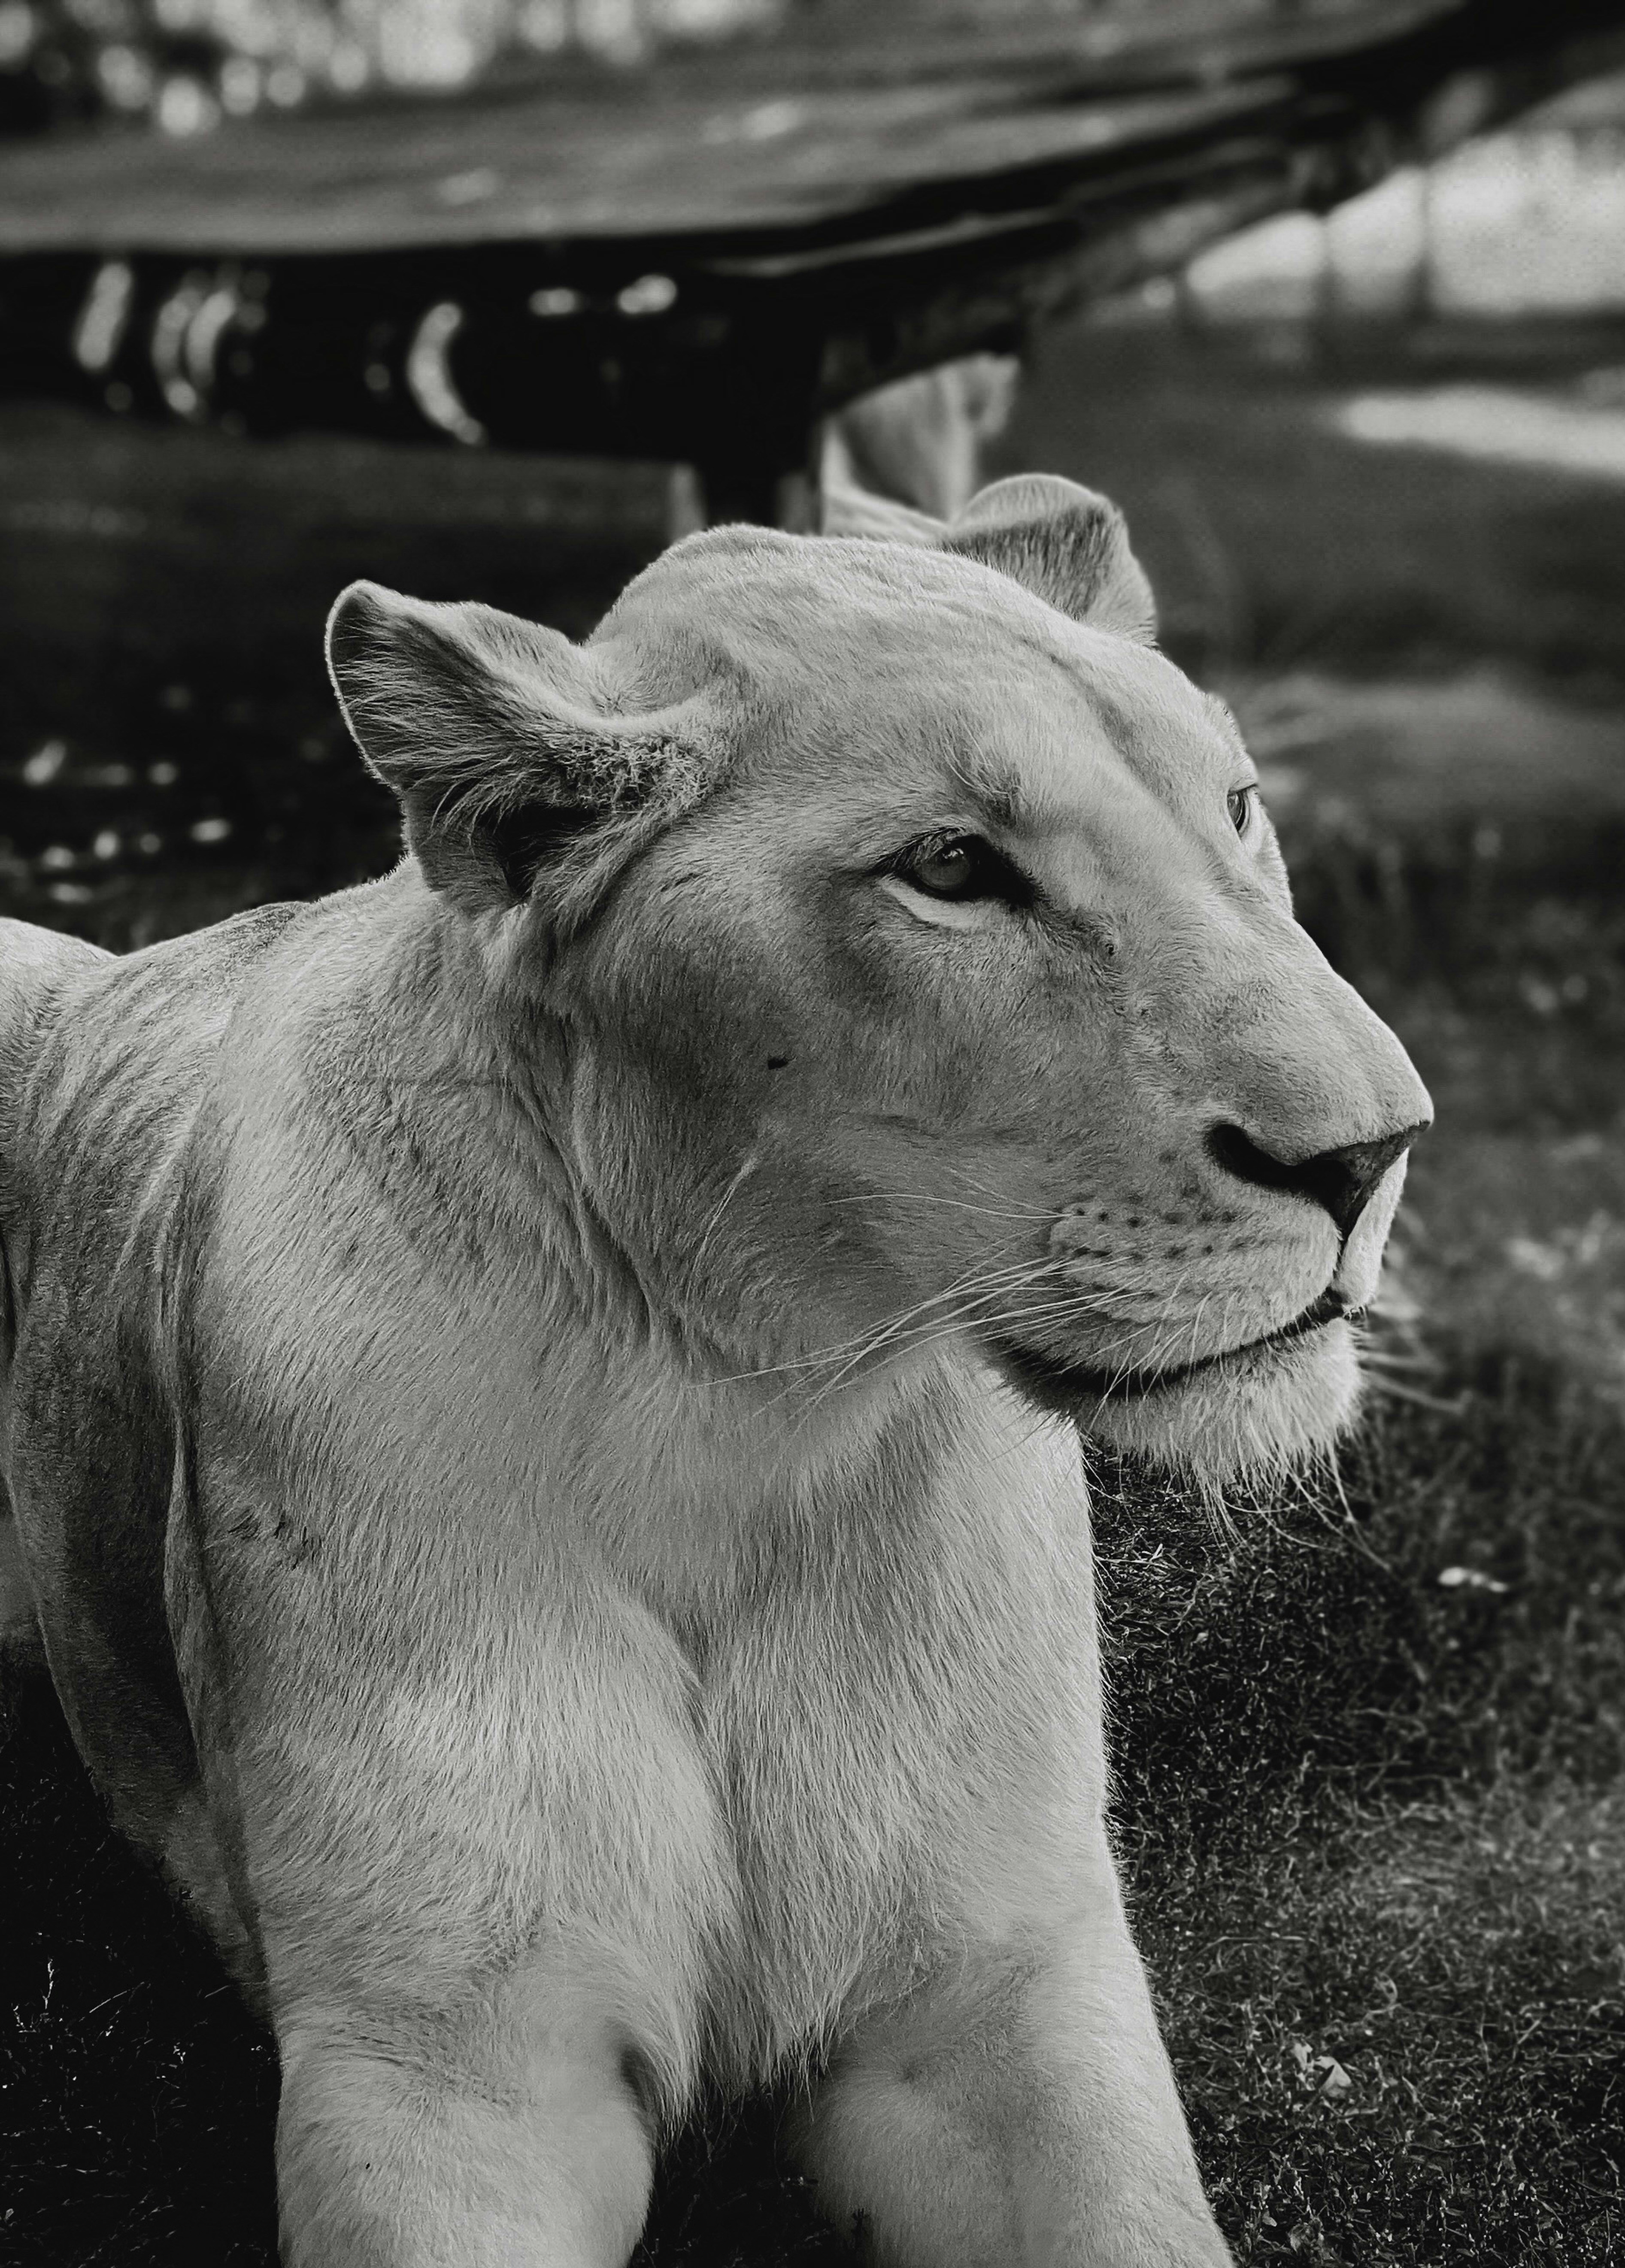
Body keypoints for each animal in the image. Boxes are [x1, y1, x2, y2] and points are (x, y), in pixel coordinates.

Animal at [0, 473, 1429, 2267]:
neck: (746, 1422)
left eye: (1236, 807)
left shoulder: (998, 1986)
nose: (1373, 1154)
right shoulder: (453, 2066)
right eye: (949, 867)